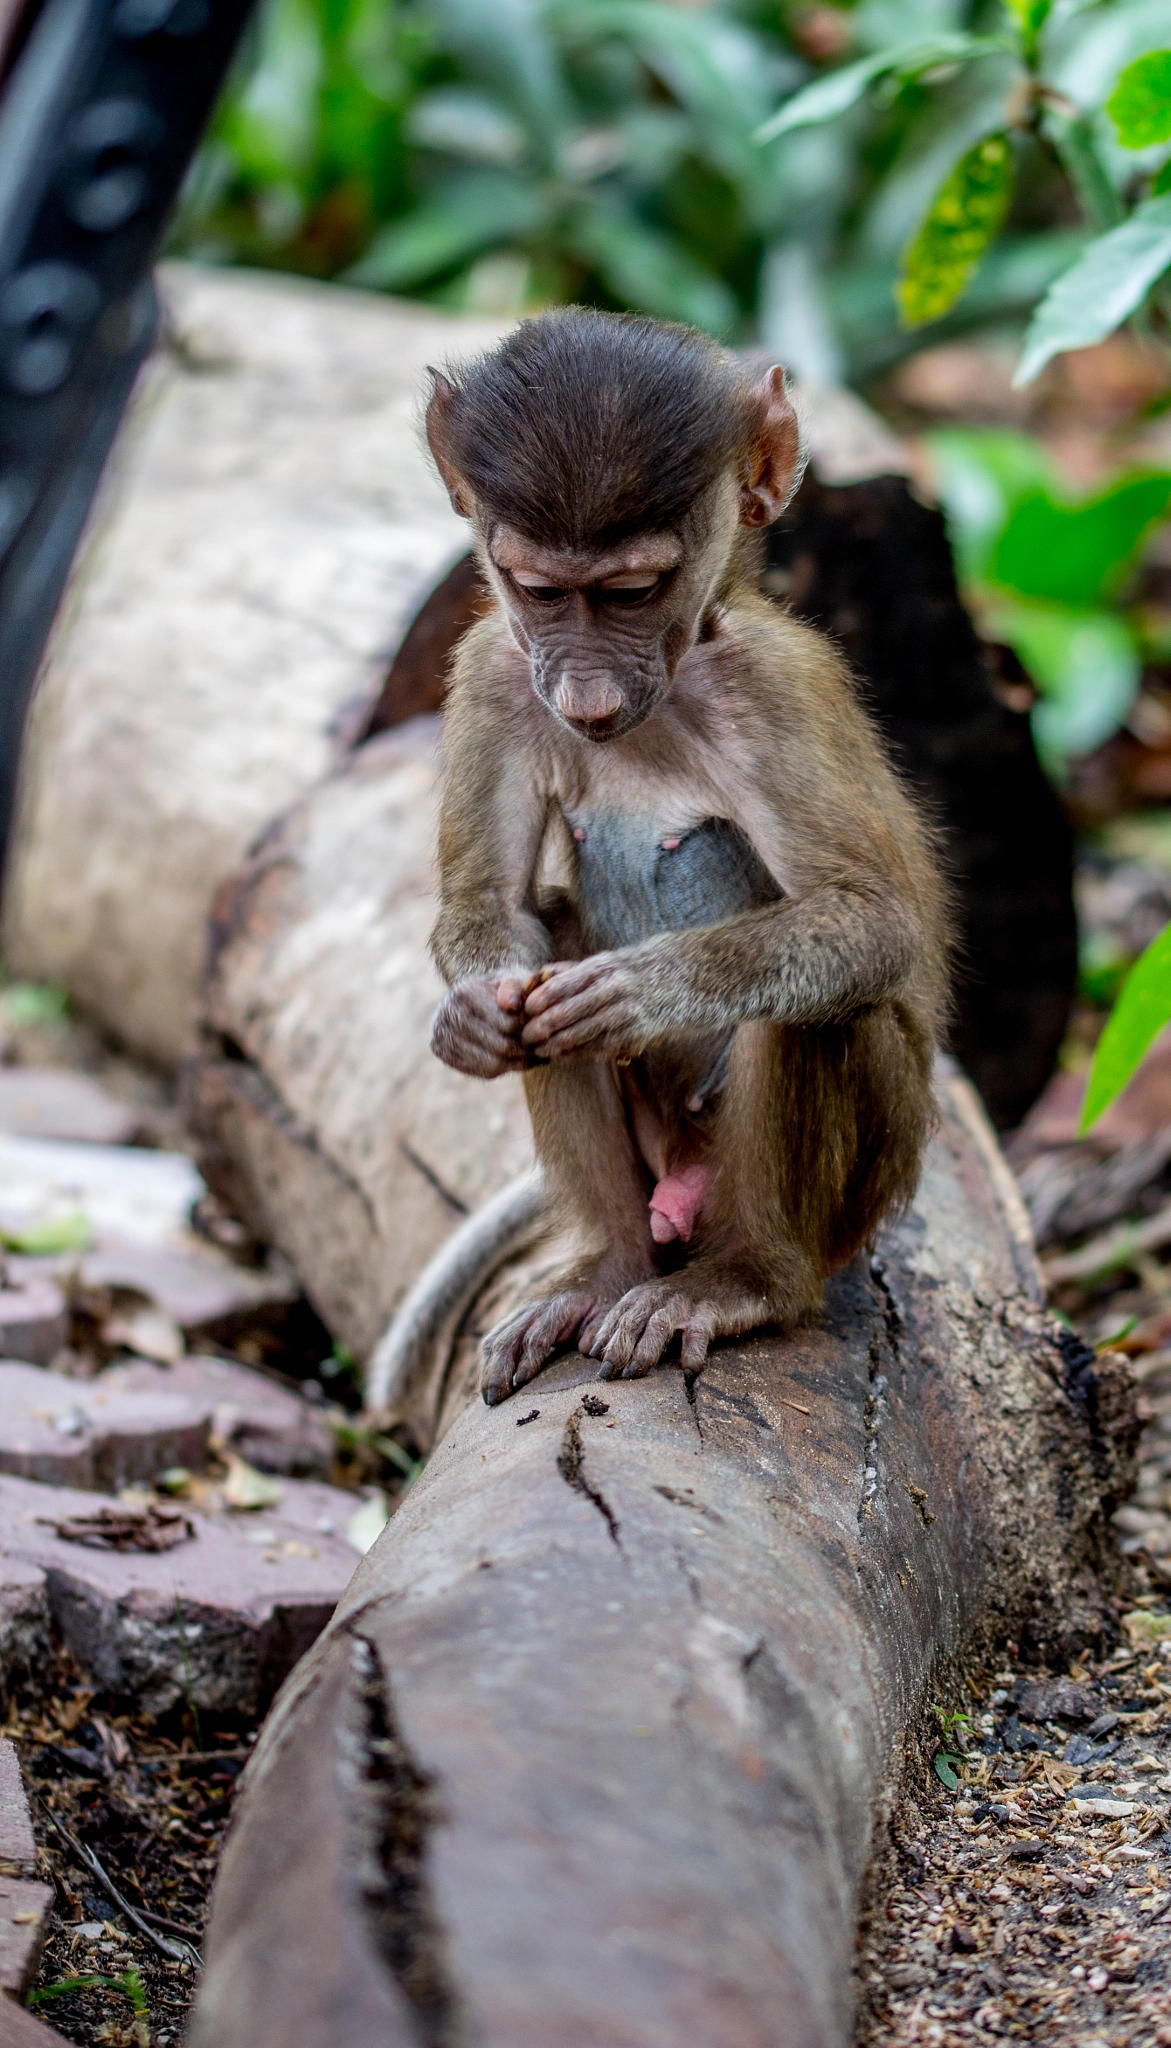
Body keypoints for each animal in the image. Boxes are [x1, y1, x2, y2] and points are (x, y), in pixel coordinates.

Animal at [419, 308, 949, 1409]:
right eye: (540, 589)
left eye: (632, 590)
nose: (581, 695)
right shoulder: (493, 666)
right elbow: (494, 909)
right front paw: (474, 1016)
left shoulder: (772, 685)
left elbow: (873, 923)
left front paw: (645, 992)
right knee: (550, 949)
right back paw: (613, 1263)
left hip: (856, 1191)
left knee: (821, 1010)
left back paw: (742, 1281)